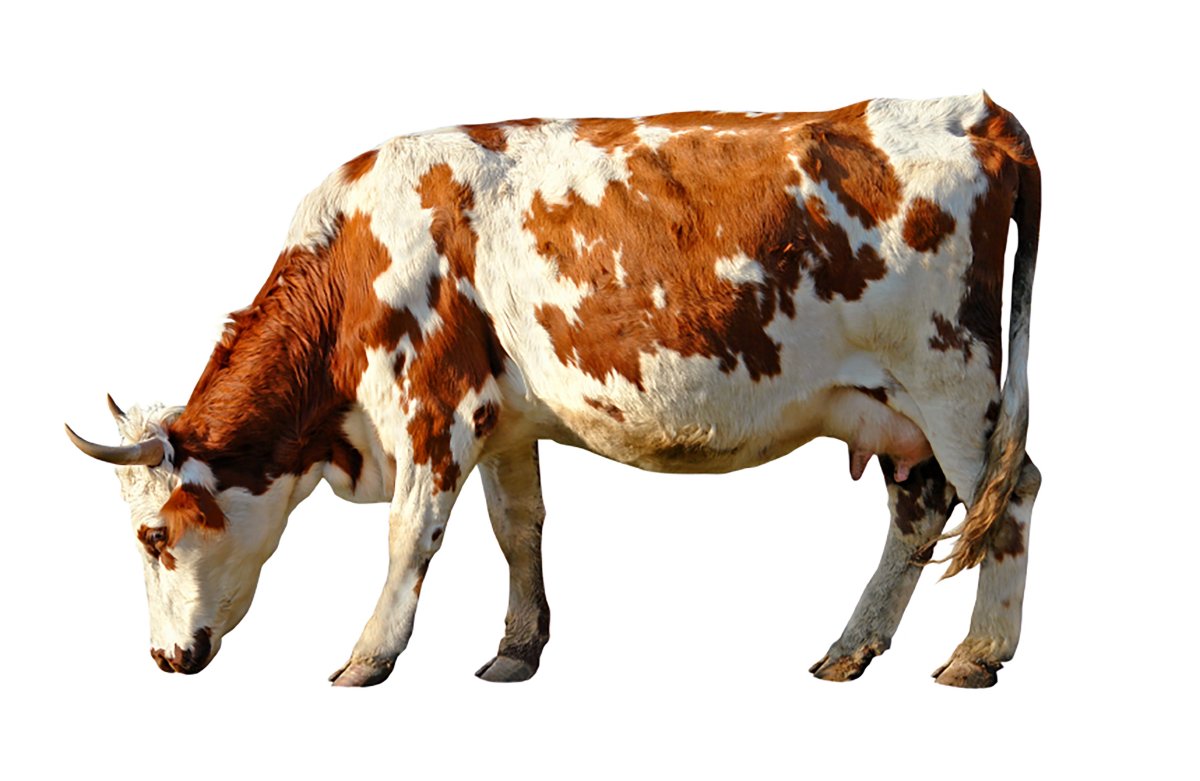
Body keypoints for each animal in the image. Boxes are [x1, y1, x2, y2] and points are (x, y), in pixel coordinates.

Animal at [66, 92, 1041, 688]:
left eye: (154, 535)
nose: (163, 658)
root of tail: (974, 111)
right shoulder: (505, 418)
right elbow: (518, 527)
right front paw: (517, 646)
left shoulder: (434, 409)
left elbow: (411, 537)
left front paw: (367, 656)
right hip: (896, 408)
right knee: (920, 512)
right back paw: (850, 649)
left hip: (954, 384)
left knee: (1011, 494)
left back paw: (977, 652)